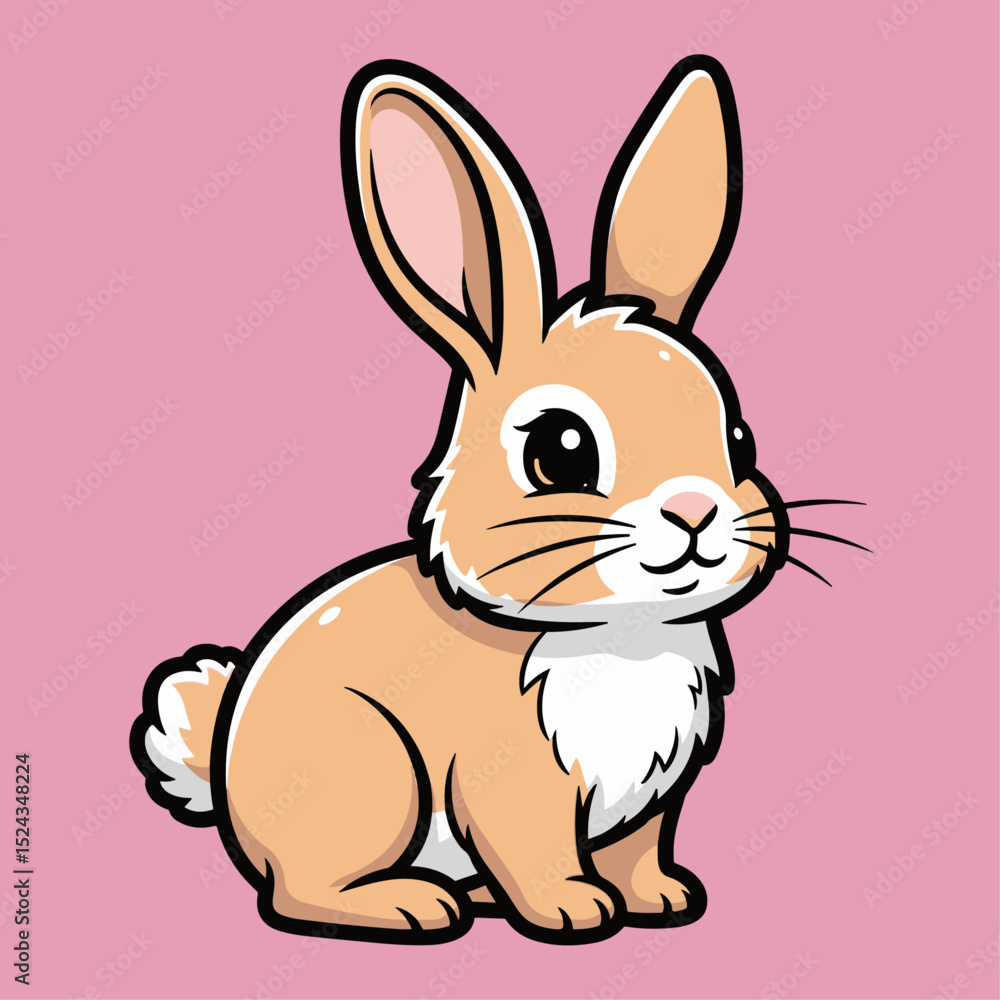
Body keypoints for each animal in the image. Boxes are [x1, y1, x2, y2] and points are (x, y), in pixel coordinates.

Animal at [131, 55, 833, 945]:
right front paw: (575, 912)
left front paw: (662, 900)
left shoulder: (651, 799)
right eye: (560, 450)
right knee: (296, 892)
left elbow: (638, 850)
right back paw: (411, 904)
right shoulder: (512, 783)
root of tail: (222, 780)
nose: (695, 511)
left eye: (738, 438)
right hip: (372, 775)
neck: (621, 633)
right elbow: (537, 850)